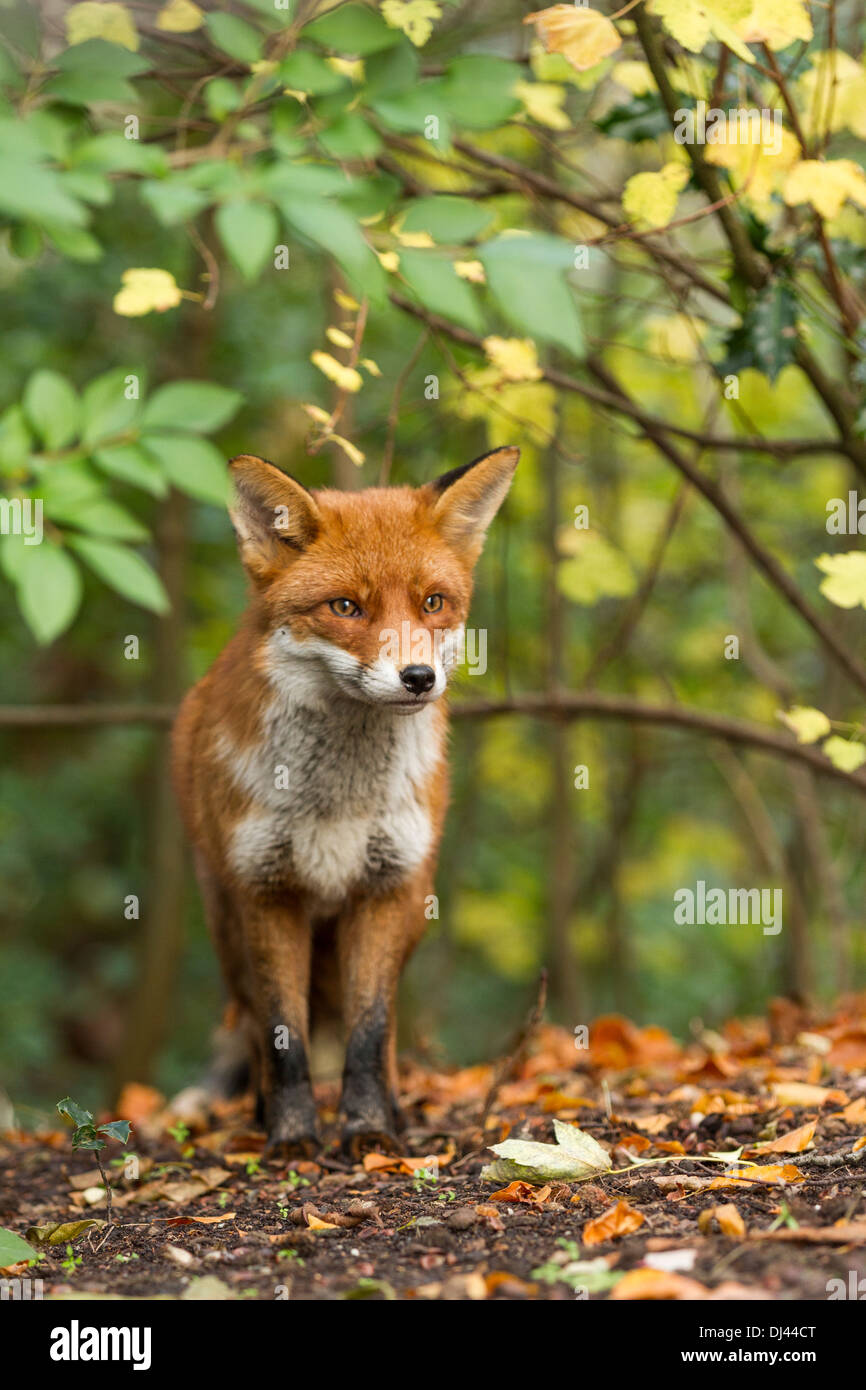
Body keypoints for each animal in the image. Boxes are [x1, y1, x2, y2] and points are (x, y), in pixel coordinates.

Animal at [171, 445, 519, 1157]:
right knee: (254, 1026)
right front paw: (291, 1136)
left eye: (433, 602)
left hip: (413, 910)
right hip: (225, 927)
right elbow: (284, 1040)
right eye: (346, 607)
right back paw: (260, 1114)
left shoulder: (385, 889)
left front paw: (368, 1129)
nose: (419, 678)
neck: (338, 801)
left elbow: (369, 1031)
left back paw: (397, 1113)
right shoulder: (267, 891)